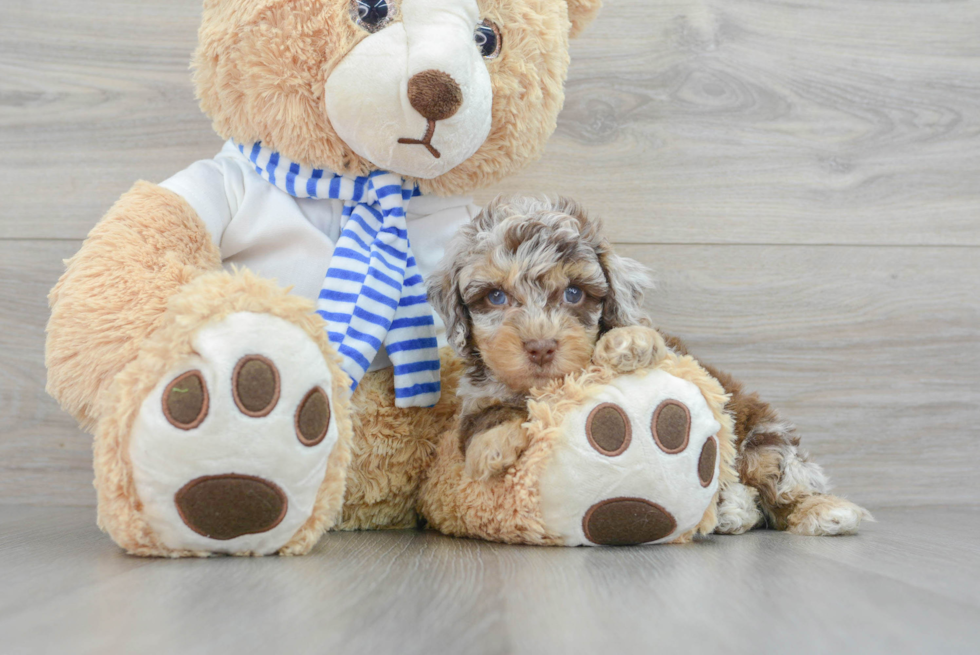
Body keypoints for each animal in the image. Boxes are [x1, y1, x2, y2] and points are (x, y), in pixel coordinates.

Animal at [428, 199, 872, 540]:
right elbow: (483, 413)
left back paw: (826, 512)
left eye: (573, 293)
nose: (540, 347)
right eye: (495, 297)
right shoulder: (477, 393)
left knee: (781, 486)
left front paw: (628, 342)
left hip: (763, 442)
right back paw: (733, 511)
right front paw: (491, 445)